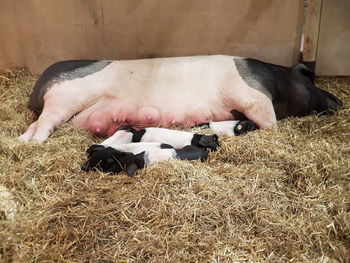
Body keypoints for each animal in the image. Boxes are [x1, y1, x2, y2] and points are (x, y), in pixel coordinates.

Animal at [18, 54, 342, 143]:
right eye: (310, 81)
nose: (339, 101)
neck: (277, 82)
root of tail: (38, 90)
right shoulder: (250, 94)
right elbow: (269, 121)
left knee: (36, 124)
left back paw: (23, 140)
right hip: (66, 98)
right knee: (43, 125)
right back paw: (31, 144)